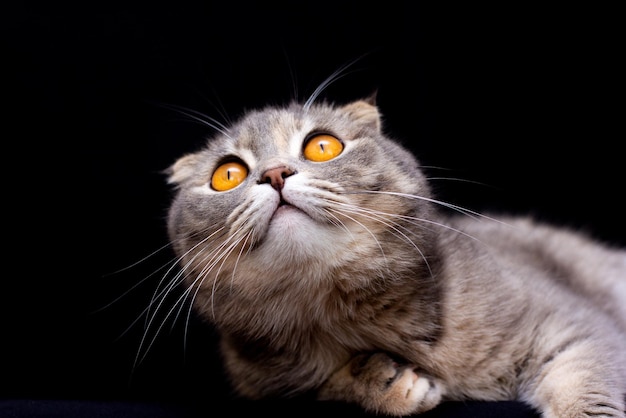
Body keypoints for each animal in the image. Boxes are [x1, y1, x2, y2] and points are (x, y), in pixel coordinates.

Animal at [162, 80, 624, 416]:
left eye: (322, 145)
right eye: (227, 174)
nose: (275, 173)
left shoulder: (578, 327)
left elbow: (588, 385)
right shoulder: (264, 385)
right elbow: (324, 388)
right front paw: (385, 381)